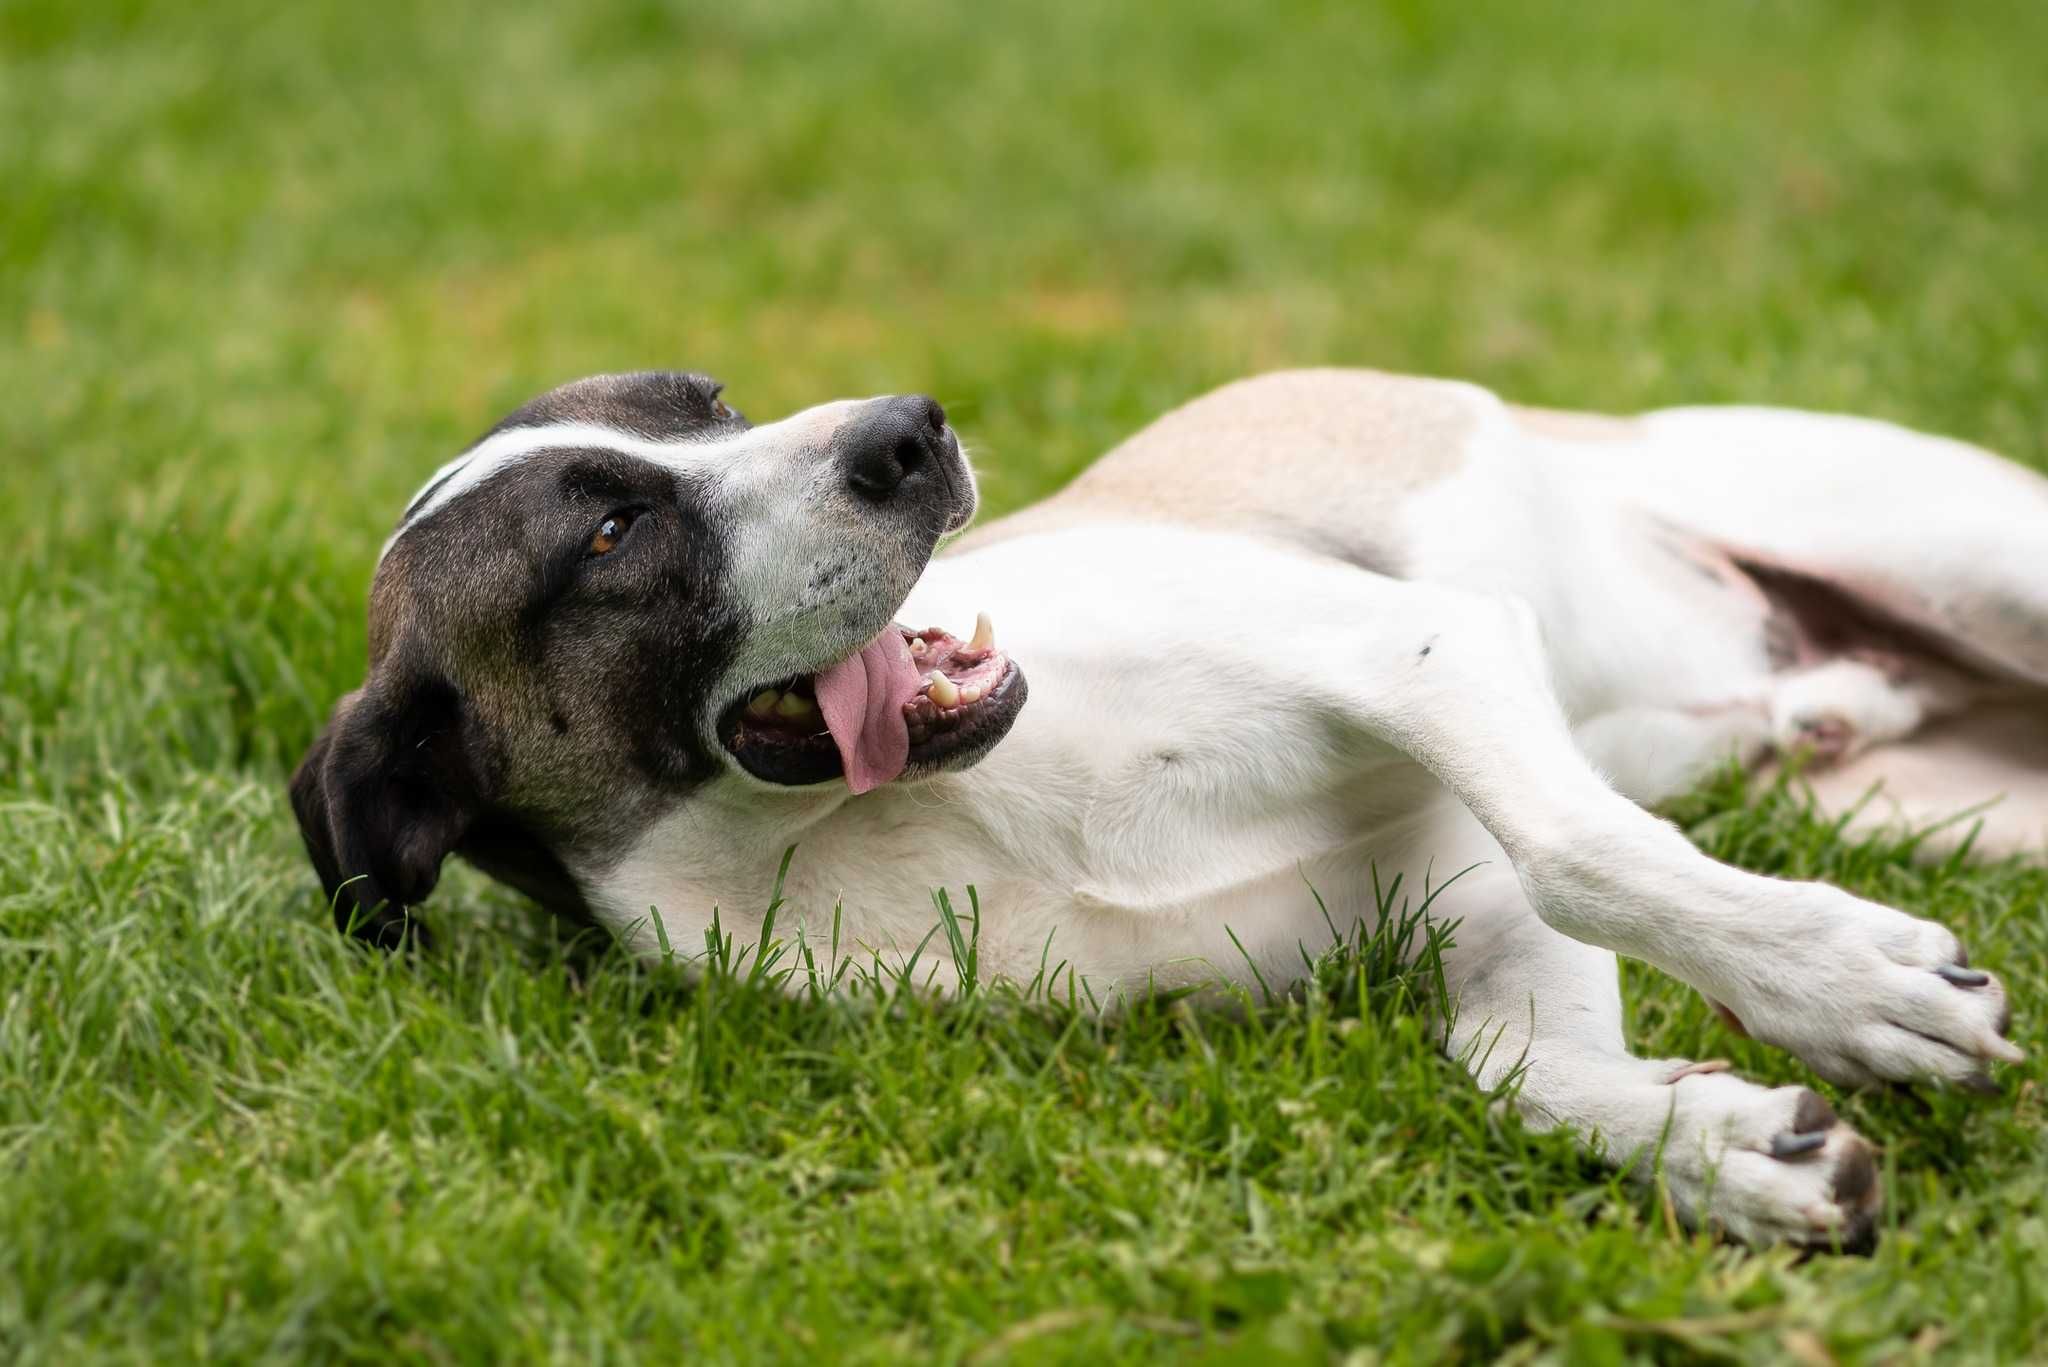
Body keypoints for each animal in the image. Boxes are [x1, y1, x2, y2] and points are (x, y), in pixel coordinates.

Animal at [292, 370, 2048, 1254]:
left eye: (710, 403)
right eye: (607, 533)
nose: (910, 431)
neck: (932, 821)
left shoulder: (1429, 654)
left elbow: (1582, 850)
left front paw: (1843, 986)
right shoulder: (1460, 879)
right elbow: (1512, 1061)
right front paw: (1739, 1148)